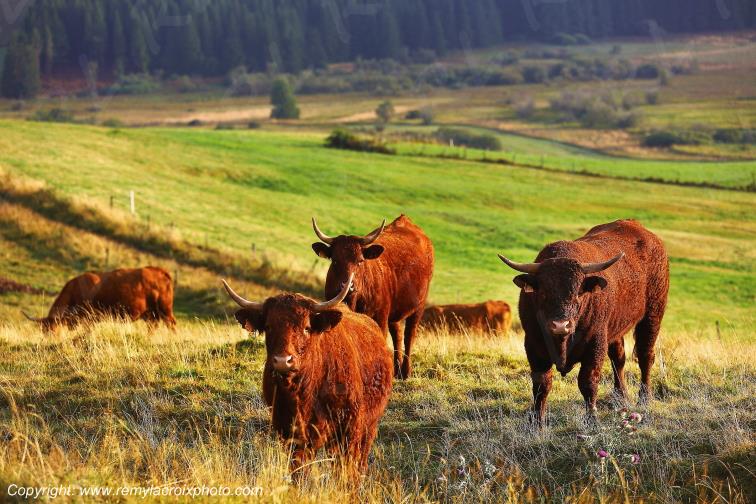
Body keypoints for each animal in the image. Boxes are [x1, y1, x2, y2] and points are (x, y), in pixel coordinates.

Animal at [22, 267, 177, 331]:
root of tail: (159, 271)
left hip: (165, 309)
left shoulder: (90, 317)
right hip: (151, 314)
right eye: (44, 331)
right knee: (153, 326)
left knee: (171, 324)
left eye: (54, 328)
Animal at [222, 274, 393, 478]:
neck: (303, 393)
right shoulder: (290, 434)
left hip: (369, 426)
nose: (283, 361)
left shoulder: (350, 429)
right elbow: (299, 471)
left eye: (306, 327)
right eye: (269, 327)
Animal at [311, 214, 434, 379]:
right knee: (397, 333)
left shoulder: (380, 317)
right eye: (335, 261)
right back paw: (397, 369)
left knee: (409, 334)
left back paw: (406, 372)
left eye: (360, 261)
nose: (348, 286)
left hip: (419, 306)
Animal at [498, 219, 669, 427]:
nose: (560, 325)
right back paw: (620, 396)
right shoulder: (533, 345)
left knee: (645, 356)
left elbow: (588, 382)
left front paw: (592, 418)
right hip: (615, 329)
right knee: (618, 358)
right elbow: (541, 384)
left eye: (578, 293)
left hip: (653, 315)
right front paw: (537, 422)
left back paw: (644, 398)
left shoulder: (595, 344)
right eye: (544, 292)